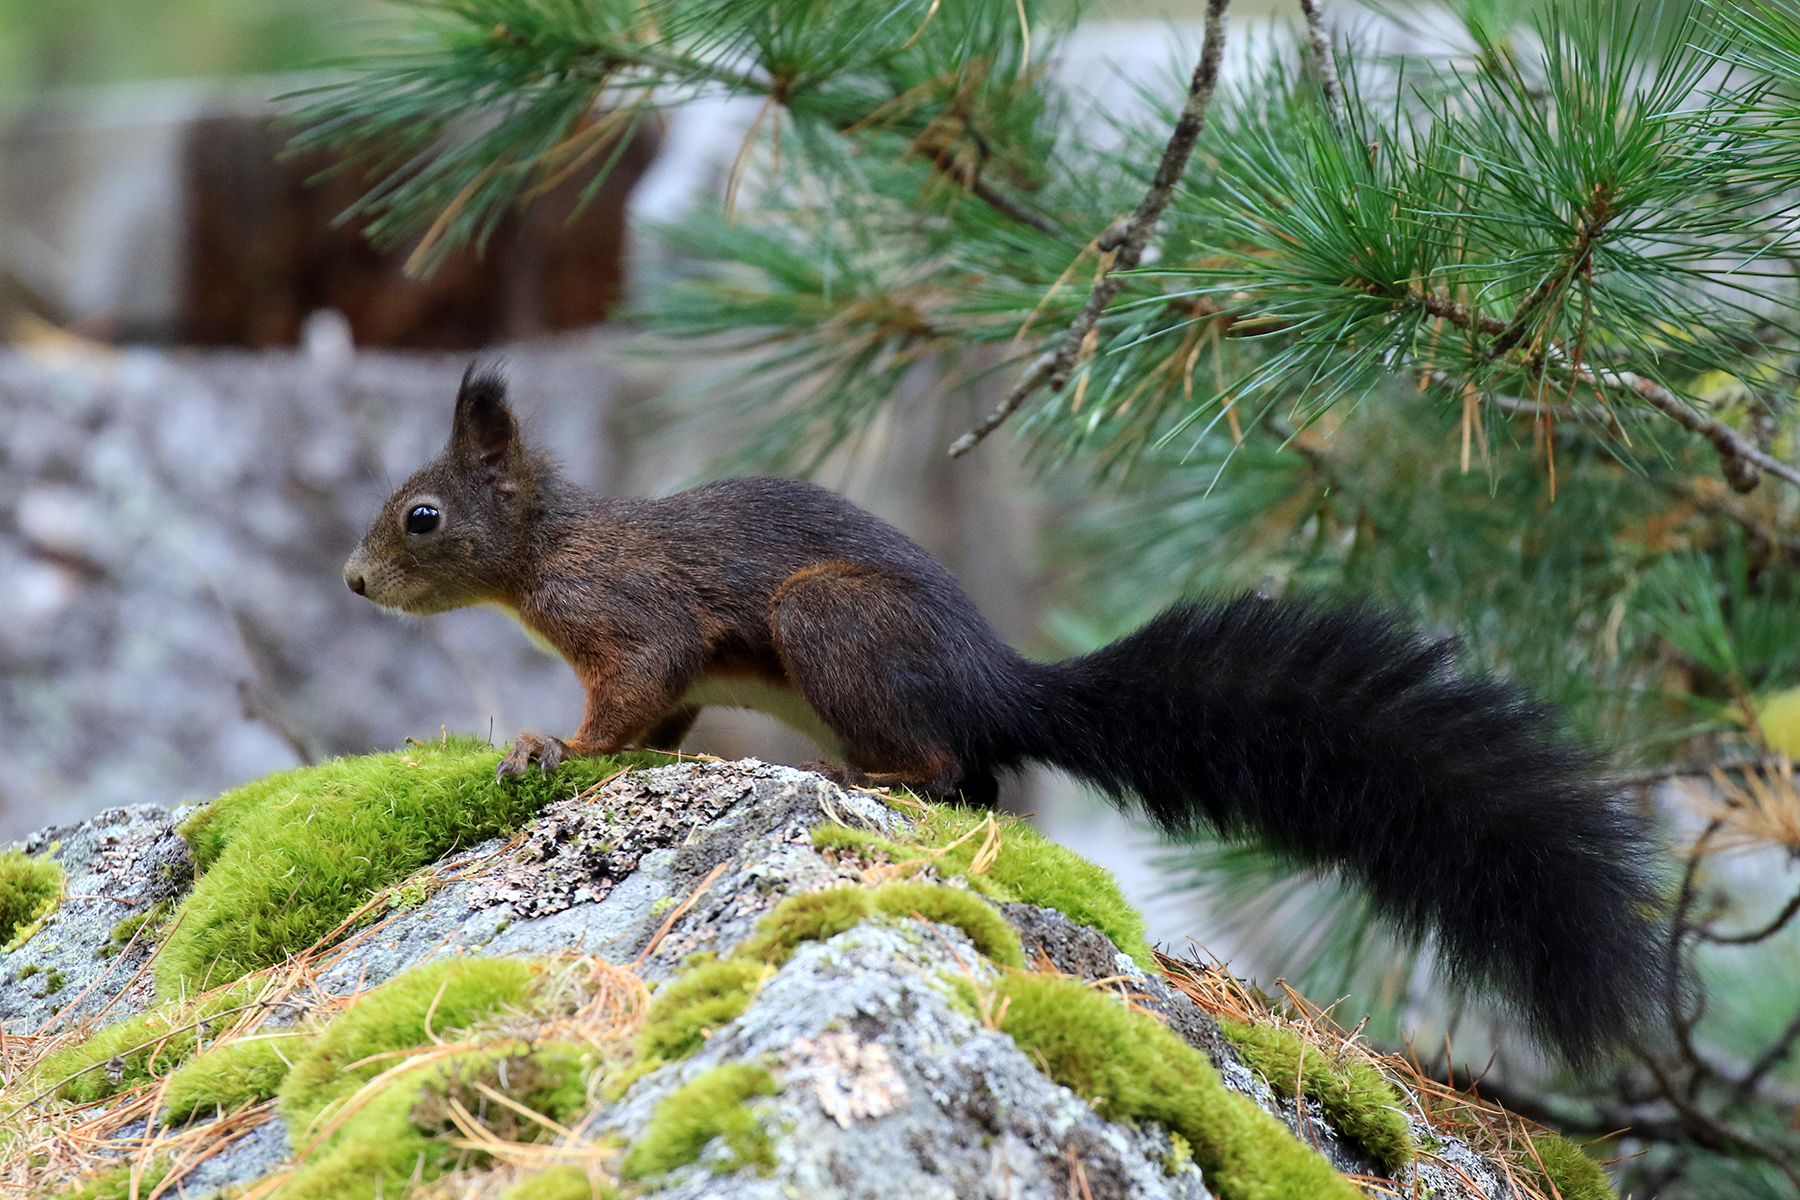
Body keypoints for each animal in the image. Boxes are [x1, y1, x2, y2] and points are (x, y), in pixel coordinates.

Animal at [344, 367, 1666, 1063]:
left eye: (421, 516)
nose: (353, 585)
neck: (549, 550)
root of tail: (999, 680)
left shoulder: (634, 615)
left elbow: (625, 704)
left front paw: (545, 749)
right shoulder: (673, 680)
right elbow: (658, 726)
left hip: (833, 624)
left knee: (942, 764)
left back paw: (879, 784)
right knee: (978, 782)